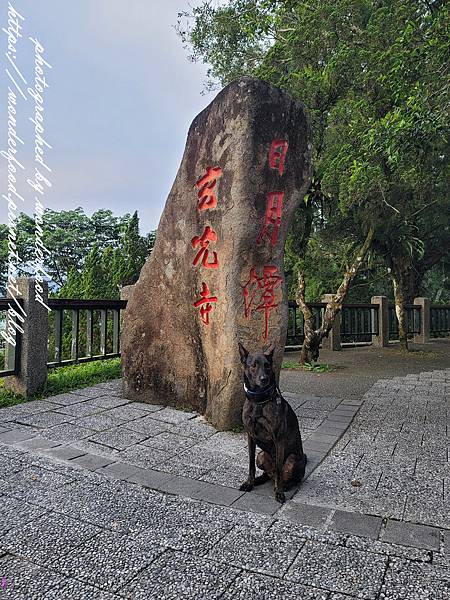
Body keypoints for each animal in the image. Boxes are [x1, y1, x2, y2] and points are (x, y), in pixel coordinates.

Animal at [239, 340, 306, 504]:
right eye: (253, 365)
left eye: (267, 365)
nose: (264, 379)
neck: (259, 401)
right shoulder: (250, 437)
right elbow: (250, 464)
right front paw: (249, 483)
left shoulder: (278, 440)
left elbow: (280, 472)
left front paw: (279, 492)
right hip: (261, 455)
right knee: (268, 474)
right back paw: (259, 480)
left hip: (292, 460)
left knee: (287, 477)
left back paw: (284, 486)